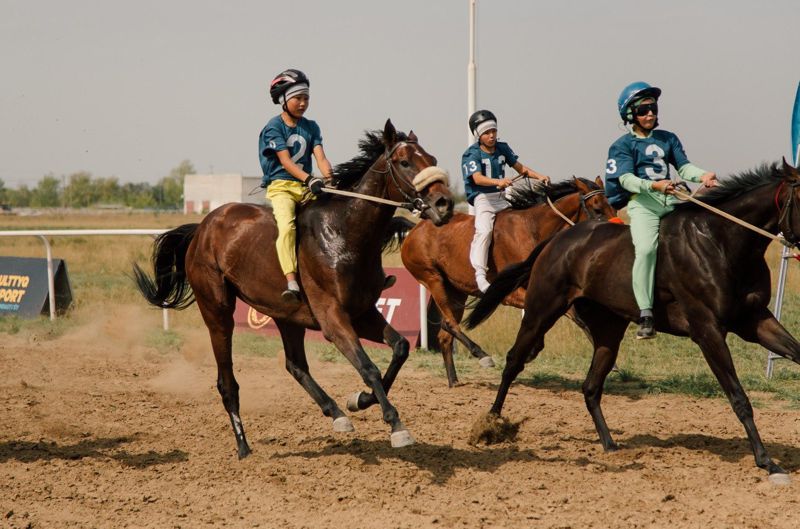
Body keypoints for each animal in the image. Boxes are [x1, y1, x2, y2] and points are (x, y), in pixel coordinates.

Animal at [134, 120, 454, 458]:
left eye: (431, 159)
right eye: (405, 162)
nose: (444, 203)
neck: (344, 233)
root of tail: (202, 229)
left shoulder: (362, 313)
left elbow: (400, 348)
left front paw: (360, 400)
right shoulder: (333, 318)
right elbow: (368, 367)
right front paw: (396, 425)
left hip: (287, 315)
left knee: (295, 364)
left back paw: (336, 413)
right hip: (217, 311)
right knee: (227, 381)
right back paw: (243, 446)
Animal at [404, 175, 616, 386]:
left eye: (612, 208)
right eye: (597, 209)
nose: (611, 236)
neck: (532, 229)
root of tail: (416, 229)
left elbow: (575, 318)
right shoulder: (511, 293)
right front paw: (530, 350)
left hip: (456, 291)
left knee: (444, 335)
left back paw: (453, 380)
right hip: (432, 278)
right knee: (449, 323)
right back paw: (481, 355)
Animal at [462, 159, 800, 476]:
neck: (720, 242)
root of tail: (557, 240)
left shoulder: (755, 320)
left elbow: (794, 352)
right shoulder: (708, 331)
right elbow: (738, 397)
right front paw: (766, 460)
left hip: (608, 331)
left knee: (590, 387)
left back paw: (610, 444)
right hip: (541, 311)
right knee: (514, 361)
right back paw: (491, 423)